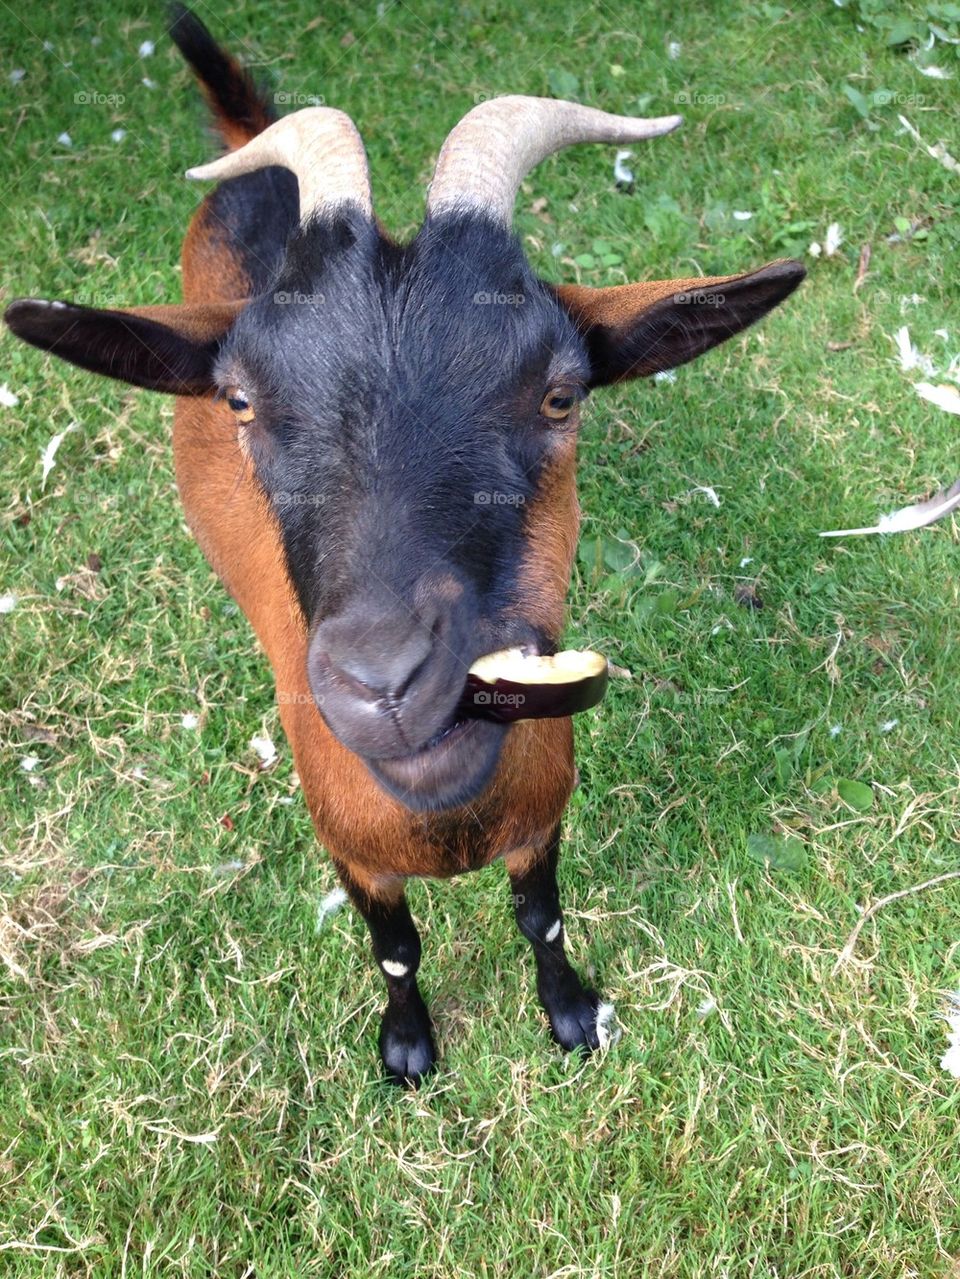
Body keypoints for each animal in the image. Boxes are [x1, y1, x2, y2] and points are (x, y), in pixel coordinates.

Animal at [3, 7, 807, 1089]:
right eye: (240, 400)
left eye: (561, 393)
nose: (384, 681)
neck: (446, 825)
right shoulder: (350, 849)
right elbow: (396, 947)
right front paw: (410, 1045)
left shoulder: (543, 813)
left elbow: (542, 919)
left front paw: (571, 1013)